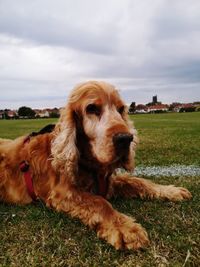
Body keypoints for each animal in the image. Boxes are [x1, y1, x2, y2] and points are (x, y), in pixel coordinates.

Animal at [0, 81, 191, 251]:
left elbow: (138, 181)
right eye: (91, 108)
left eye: (121, 109)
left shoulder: (109, 182)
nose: (126, 139)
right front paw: (126, 228)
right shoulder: (62, 193)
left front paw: (170, 190)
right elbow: (100, 202)